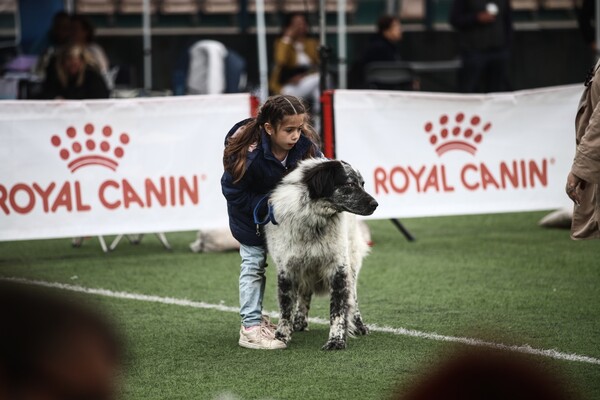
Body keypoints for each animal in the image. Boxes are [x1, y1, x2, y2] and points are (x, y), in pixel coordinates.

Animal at [264, 158, 378, 348]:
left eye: (362, 184)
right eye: (350, 184)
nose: (375, 204)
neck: (314, 219)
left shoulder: (338, 267)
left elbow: (338, 309)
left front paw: (336, 340)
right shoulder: (286, 269)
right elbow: (286, 308)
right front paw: (281, 336)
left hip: (352, 263)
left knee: (352, 297)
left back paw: (359, 325)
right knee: (304, 294)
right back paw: (300, 322)